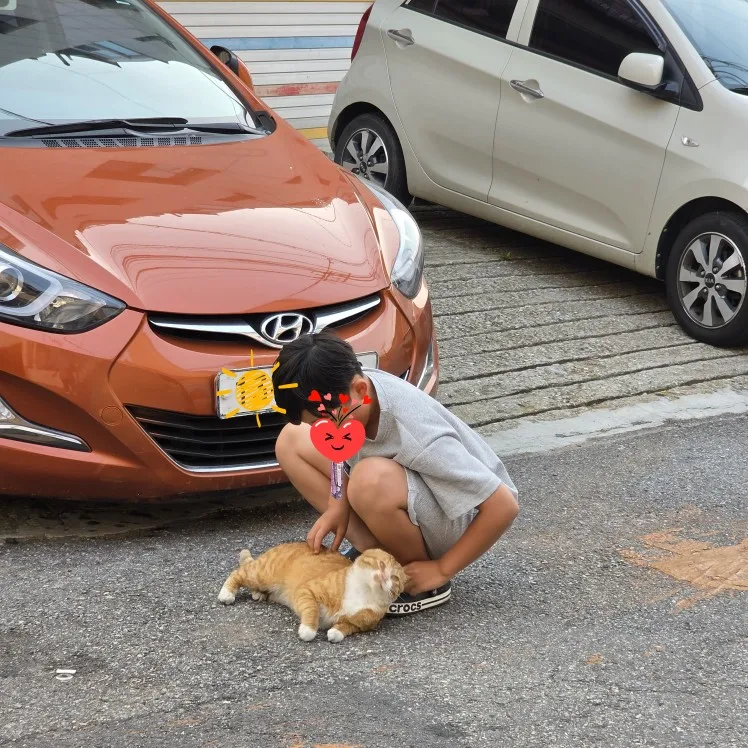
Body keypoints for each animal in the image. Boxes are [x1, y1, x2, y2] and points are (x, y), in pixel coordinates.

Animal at [218, 542, 406, 643]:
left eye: (395, 578)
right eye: (381, 564)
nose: (384, 577)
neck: (364, 592)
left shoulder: (359, 625)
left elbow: (347, 626)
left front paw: (336, 632)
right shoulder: (307, 591)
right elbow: (312, 611)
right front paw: (308, 630)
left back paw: (259, 594)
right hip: (262, 574)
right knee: (238, 573)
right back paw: (226, 593)